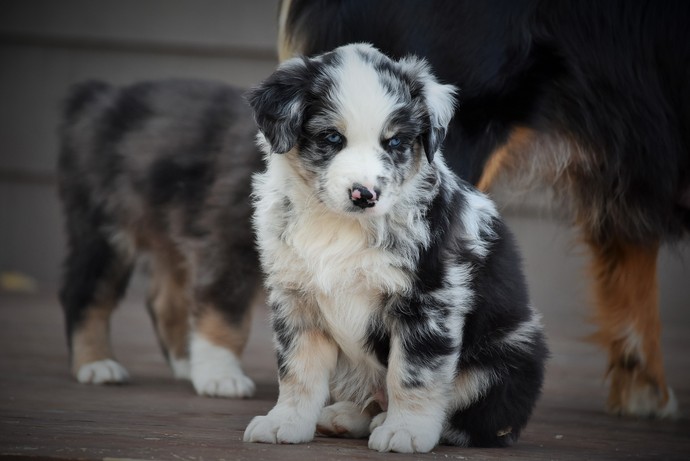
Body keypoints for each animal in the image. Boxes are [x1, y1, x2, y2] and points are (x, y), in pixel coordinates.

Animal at [57, 78, 262, 396]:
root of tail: (99, 94)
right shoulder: (230, 240)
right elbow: (227, 314)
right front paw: (222, 377)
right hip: (105, 225)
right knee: (84, 292)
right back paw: (96, 363)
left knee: (166, 301)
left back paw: (188, 364)